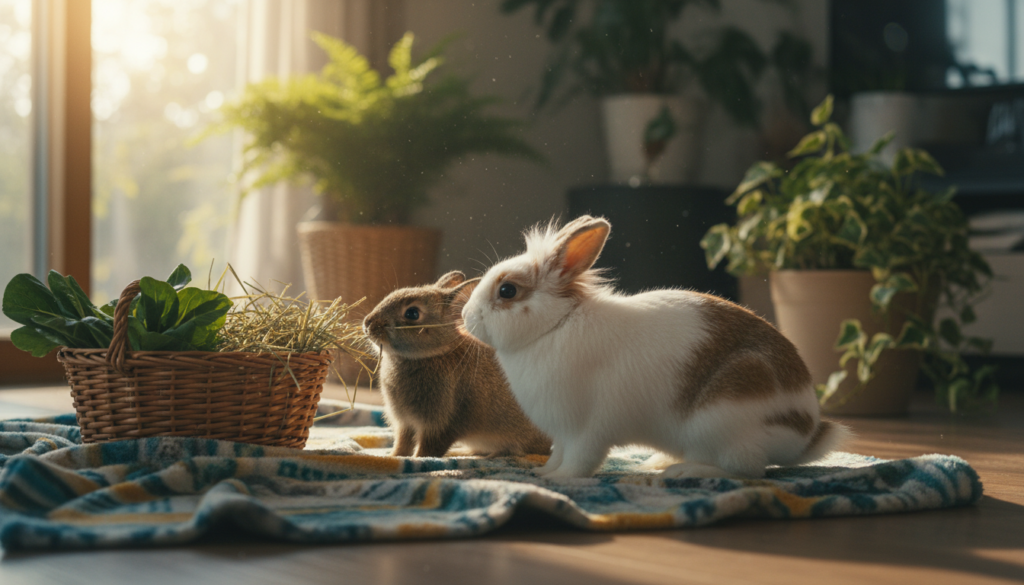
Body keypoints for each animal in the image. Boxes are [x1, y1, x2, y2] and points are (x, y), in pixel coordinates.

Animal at [362, 270, 552, 459]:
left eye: (412, 314)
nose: (368, 323)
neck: (435, 353)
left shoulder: (441, 424)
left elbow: (428, 448)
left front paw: (417, 460)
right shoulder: (405, 423)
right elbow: (403, 442)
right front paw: (394, 456)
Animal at [460, 215, 850, 479]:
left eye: (507, 290)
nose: (465, 316)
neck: (554, 326)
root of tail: (804, 432)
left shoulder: (588, 428)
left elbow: (579, 461)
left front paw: (560, 481)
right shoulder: (562, 432)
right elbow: (557, 453)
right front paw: (543, 474)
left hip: (725, 419)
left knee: (746, 469)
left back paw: (681, 472)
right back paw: (661, 462)